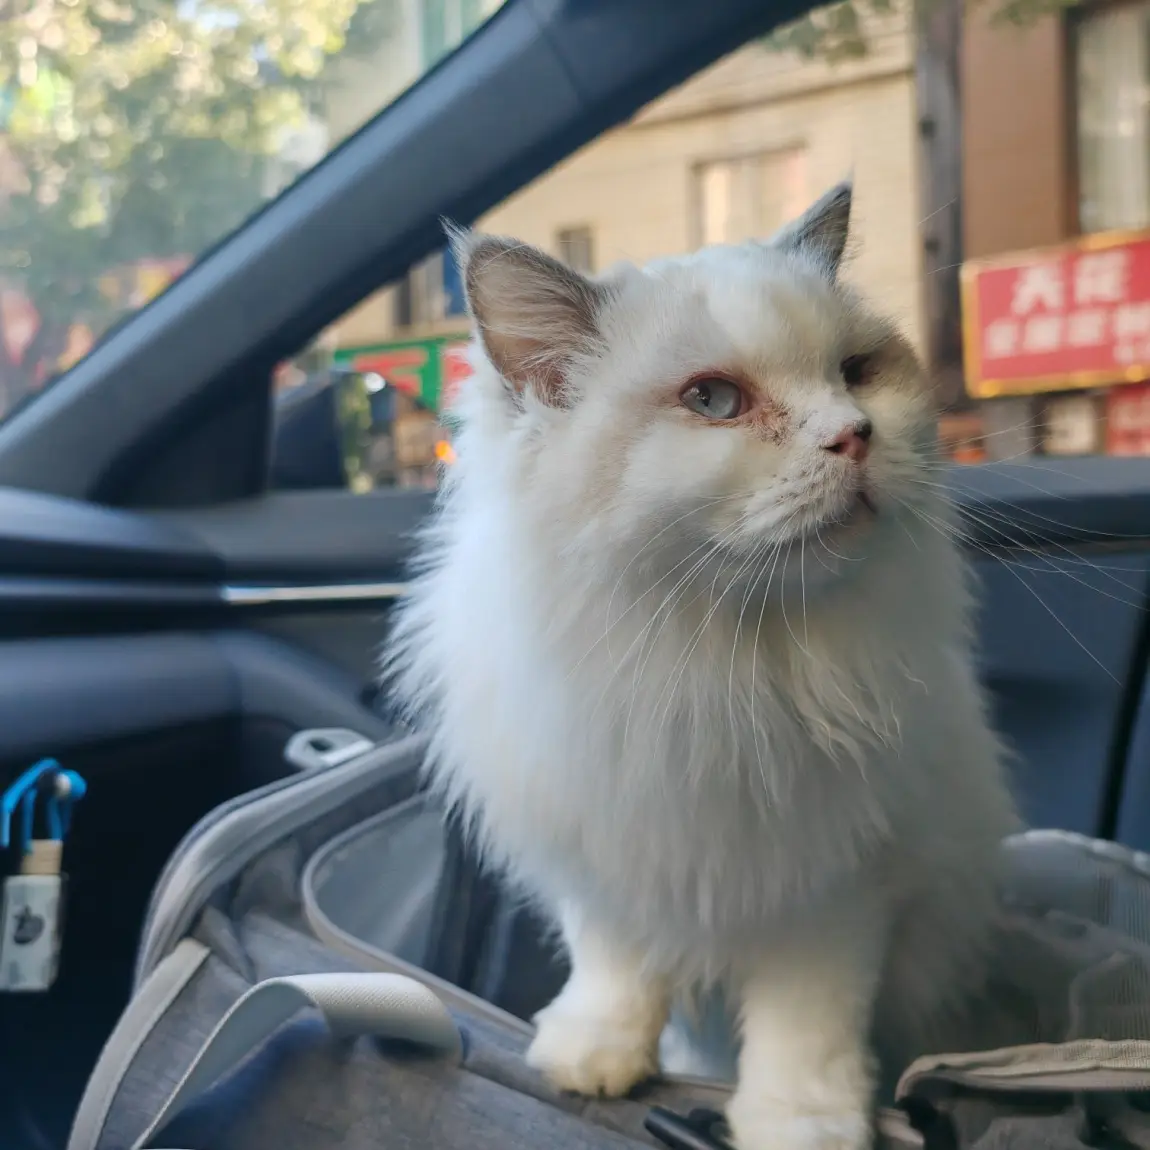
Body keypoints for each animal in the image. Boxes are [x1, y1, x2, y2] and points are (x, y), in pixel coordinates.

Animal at [384, 181, 1019, 1150]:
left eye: (856, 373)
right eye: (714, 400)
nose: (856, 435)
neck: (723, 662)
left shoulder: (834, 888)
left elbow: (806, 1029)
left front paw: (802, 1124)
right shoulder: (608, 857)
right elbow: (613, 969)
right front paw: (593, 1058)